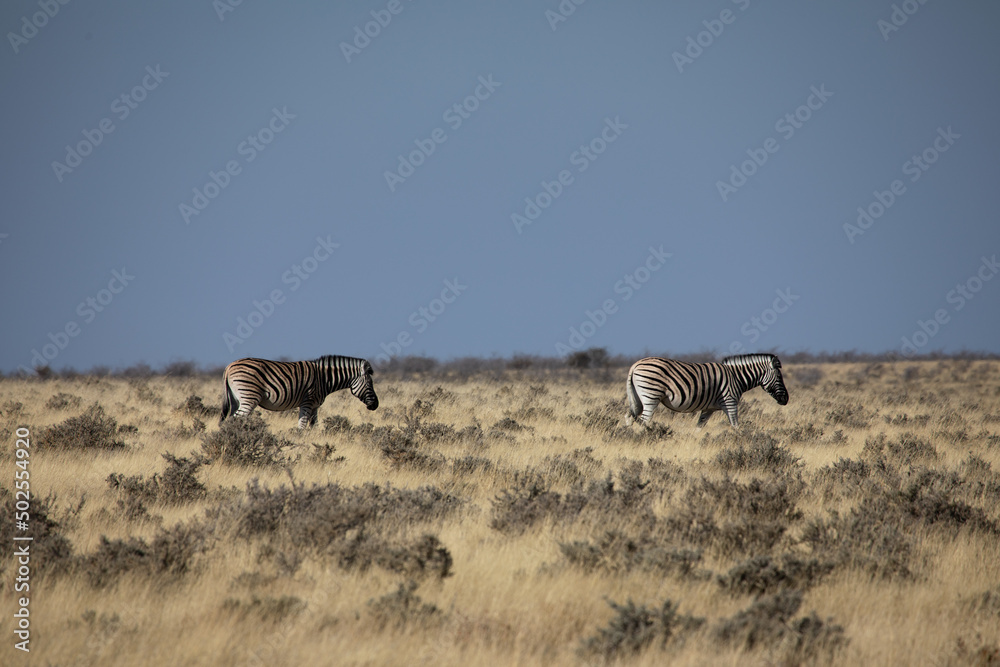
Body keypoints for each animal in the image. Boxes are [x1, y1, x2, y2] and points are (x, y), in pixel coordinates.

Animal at [220, 355, 378, 429]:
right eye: (369, 384)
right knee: (235, 419)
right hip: (249, 396)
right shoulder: (307, 402)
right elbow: (301, 426)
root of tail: (229, 366)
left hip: (235, 399)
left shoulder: (315, 406)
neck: (324, 379)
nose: (375, 405)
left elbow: (313, 426)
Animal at [625, 353, 788, 428]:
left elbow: (699, 427)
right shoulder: (730, 402)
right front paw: (740, 441)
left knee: (629, 416)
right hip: (651, 395)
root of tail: (634, 365)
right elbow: (735, 425)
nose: (786, 399)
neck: (736, 377)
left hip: (637, 398)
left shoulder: (708, 409)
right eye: (779, 377)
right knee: (644, 421)